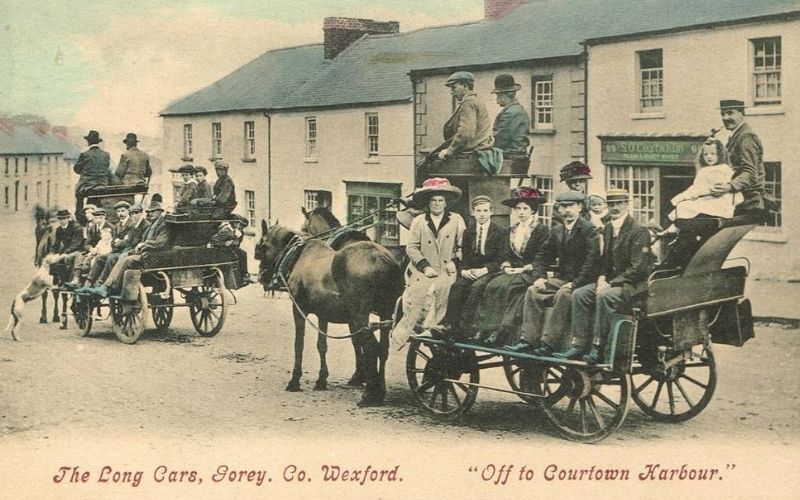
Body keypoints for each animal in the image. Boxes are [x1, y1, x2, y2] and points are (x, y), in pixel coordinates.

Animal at [256, 219, 404, 406]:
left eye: (262, 247)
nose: (261, 277)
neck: (299, 255)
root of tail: (383, 259)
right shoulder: (323, 315)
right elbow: (322, 346)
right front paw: (321, 380)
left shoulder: (299, 310)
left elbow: (299, 344)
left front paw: (294, 380)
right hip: (385, 313)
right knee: (383, 349)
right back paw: (380, 391)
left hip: (361, 316)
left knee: (371, 347)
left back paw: (370, 394)